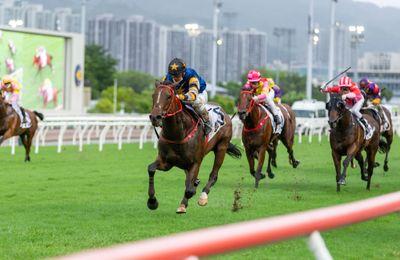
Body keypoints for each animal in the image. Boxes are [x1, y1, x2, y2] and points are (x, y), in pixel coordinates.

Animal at [148, 81, 239, 213]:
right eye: (153, 95)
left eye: (169, 96)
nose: (155, 117)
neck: (177, 134)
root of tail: (223, 112)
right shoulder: (166, 162)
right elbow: (151, 169)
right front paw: (152, 201)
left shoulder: (195, 162)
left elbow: (189, 190)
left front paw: (183, 204)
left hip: (221, 147)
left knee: (213, 175)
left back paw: (203, 197)